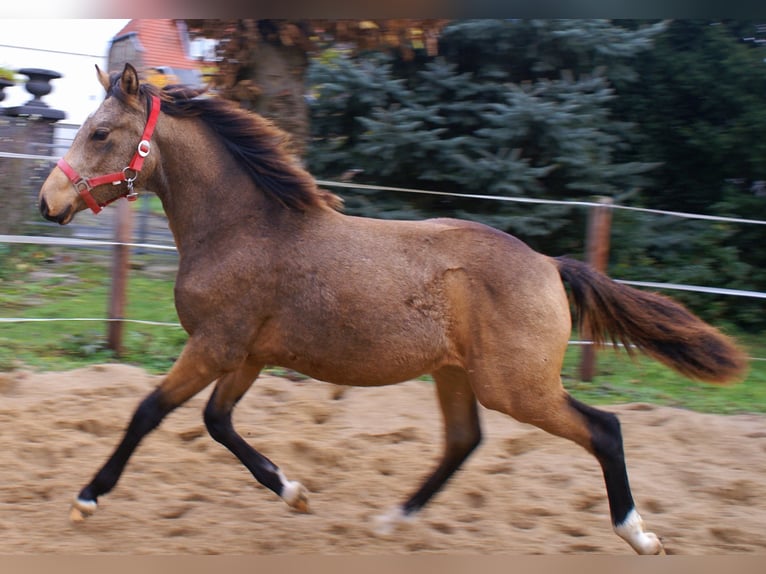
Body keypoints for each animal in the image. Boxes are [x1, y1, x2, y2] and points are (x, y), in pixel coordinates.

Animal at [37, 65, 752, 556]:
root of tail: (551, 265)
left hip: (516, 385)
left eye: (101, 132)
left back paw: (640, 536)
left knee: (604, 429)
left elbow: (148, 412)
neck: (243, 228)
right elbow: (217, 423)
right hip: (456, 374)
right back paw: (392, 520)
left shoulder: (215, 346)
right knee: (464, 441)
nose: (48, 203)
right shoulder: (246, 355)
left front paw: (85, 500)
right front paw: (295, 493)